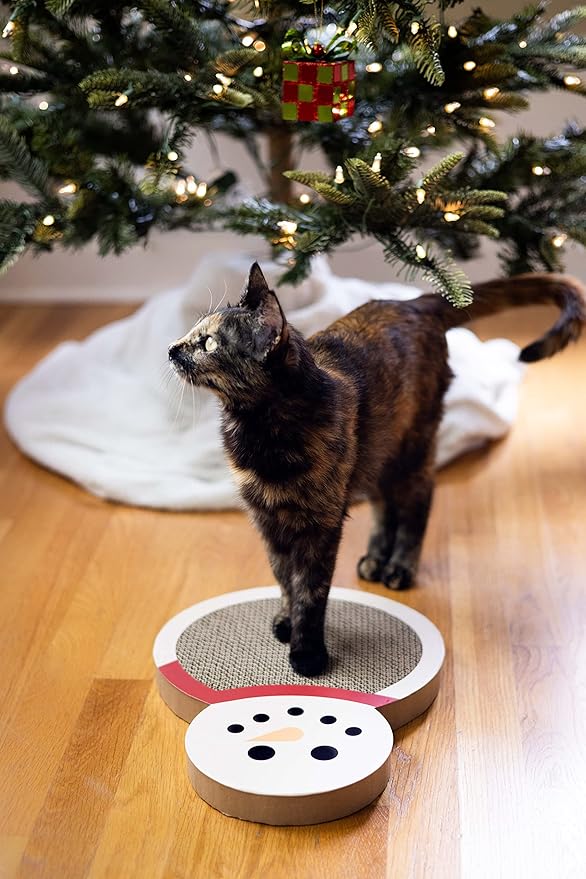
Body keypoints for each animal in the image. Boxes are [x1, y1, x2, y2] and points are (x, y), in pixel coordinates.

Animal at [168, 262, 580, 672]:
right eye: (194, 331)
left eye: (209, 344)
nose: (172, 349)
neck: (258, 432)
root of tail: (413, 303)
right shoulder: (267, 519)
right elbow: (283, 577)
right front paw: (286, 621)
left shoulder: (320, 524)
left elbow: (310, 591)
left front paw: (307, 653)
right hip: (377, 456)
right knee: (385, 505)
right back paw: (376, 561)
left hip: (414, 447)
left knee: (417, 502)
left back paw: (399, 568)